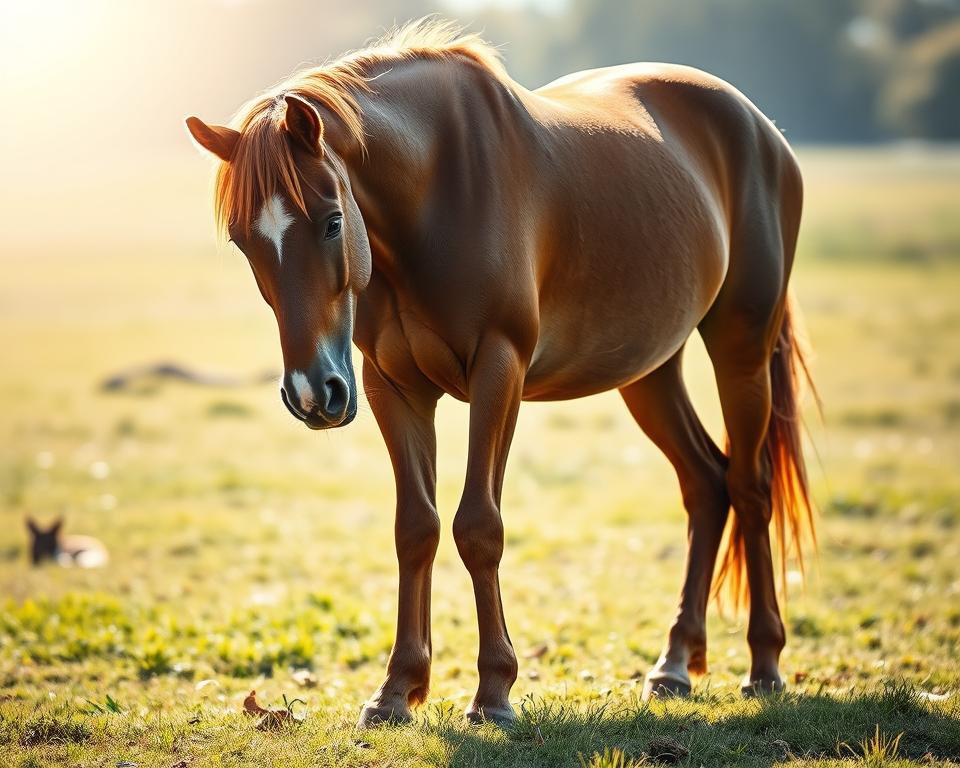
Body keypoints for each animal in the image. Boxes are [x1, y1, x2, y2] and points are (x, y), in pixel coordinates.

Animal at [186, 19, 816, 727]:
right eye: (243, 240)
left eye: (331, 221)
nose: (312, 393)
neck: (437, 189)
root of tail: (760, 127)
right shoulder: (390, 386)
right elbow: (417, 527)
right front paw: (396, 690)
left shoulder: (499, 368)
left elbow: (478, 528)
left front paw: (493, 692)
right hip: (650, 370)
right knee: (706, 484)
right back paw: (673, 665)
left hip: (742, 346)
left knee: (750, 487)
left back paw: (764, 664)